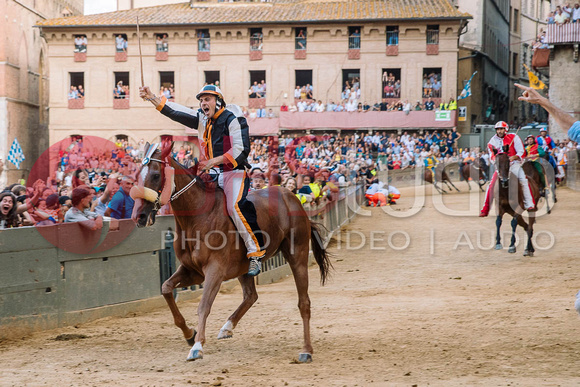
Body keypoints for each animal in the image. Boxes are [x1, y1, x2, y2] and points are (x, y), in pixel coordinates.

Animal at [133, 142, 330, 364]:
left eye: (155, 175)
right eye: (138, 174)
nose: (140, 216)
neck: (198, 217)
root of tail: (292, 197)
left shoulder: (215, 270)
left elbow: (203, 305)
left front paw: (197, 346)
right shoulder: (193, 271)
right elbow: (166, 288)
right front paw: (190, 334)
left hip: (298, 256)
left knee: (304, 302)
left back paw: (306, 350)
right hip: (244, 268)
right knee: (251, 295)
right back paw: (227, 327)